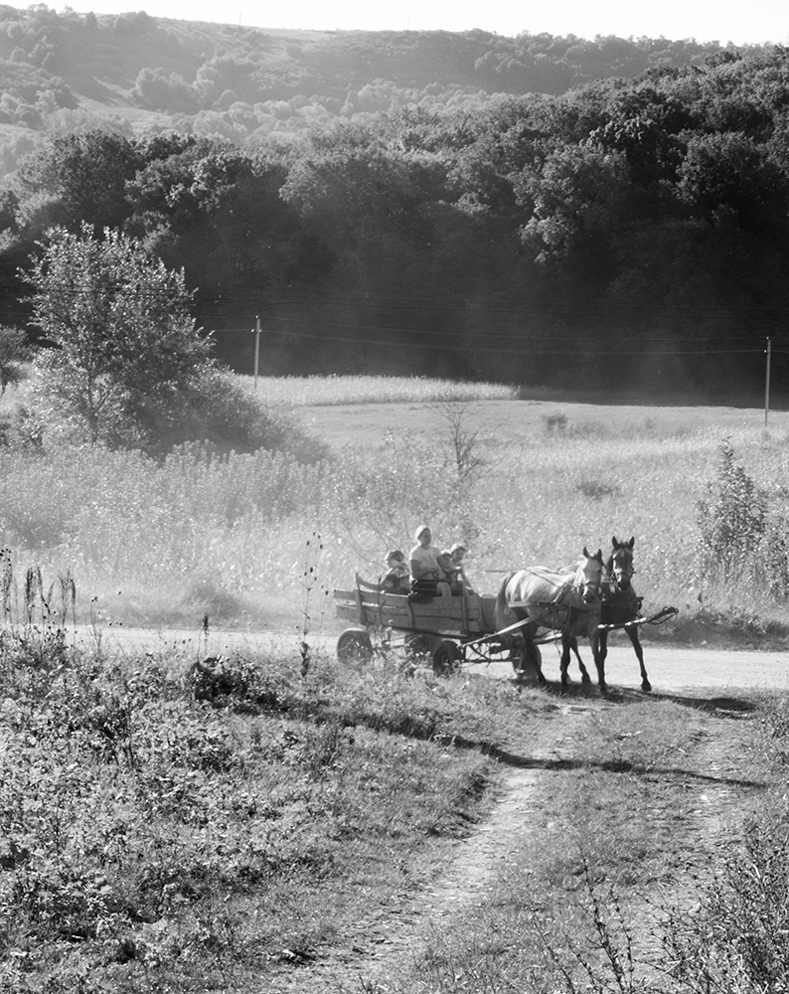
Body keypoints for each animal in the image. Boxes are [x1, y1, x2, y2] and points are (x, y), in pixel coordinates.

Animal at [492, 548, 604, 684]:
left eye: (599, 570)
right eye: (584, 569)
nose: (588, 596)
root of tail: (516, 575)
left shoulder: (592, 629)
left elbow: (596, 657)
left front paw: (599, 682)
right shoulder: (567, 630)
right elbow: (567, 656)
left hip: (533, 621)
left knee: (525, 645)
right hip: (523, 618)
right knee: (529, 646)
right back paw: (540, 677)